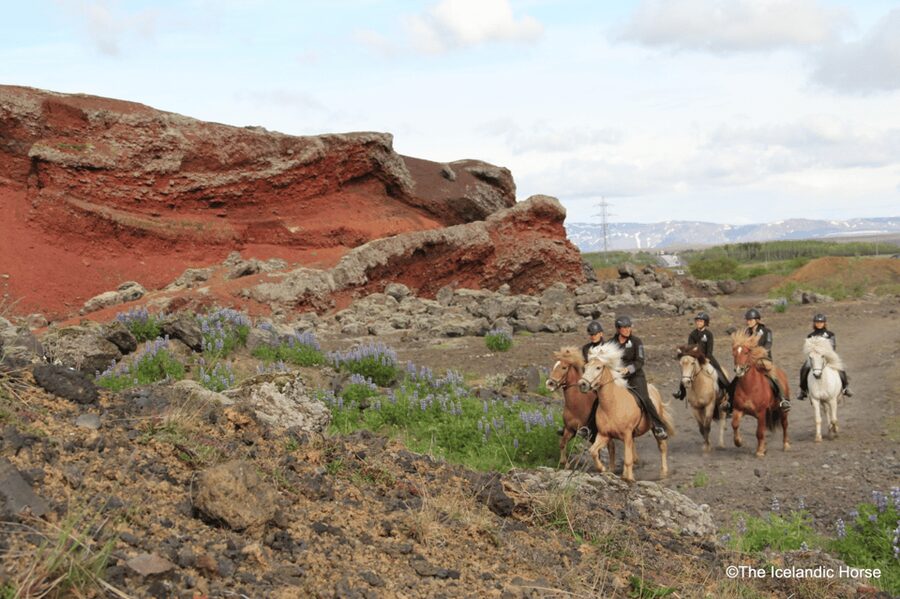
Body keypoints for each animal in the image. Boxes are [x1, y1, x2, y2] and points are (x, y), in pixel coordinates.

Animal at [576, 343, 672, 482]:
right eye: (585, 367)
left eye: (598, 367)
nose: (582, 384)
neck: (612, 405)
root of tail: (652, 388)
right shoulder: (604, 435)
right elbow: (593, 451)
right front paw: (604, 469)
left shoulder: (626, 435)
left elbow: (628, 459)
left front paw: (630, 479)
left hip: (655, 429)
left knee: (662, 447)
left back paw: (663, 473)